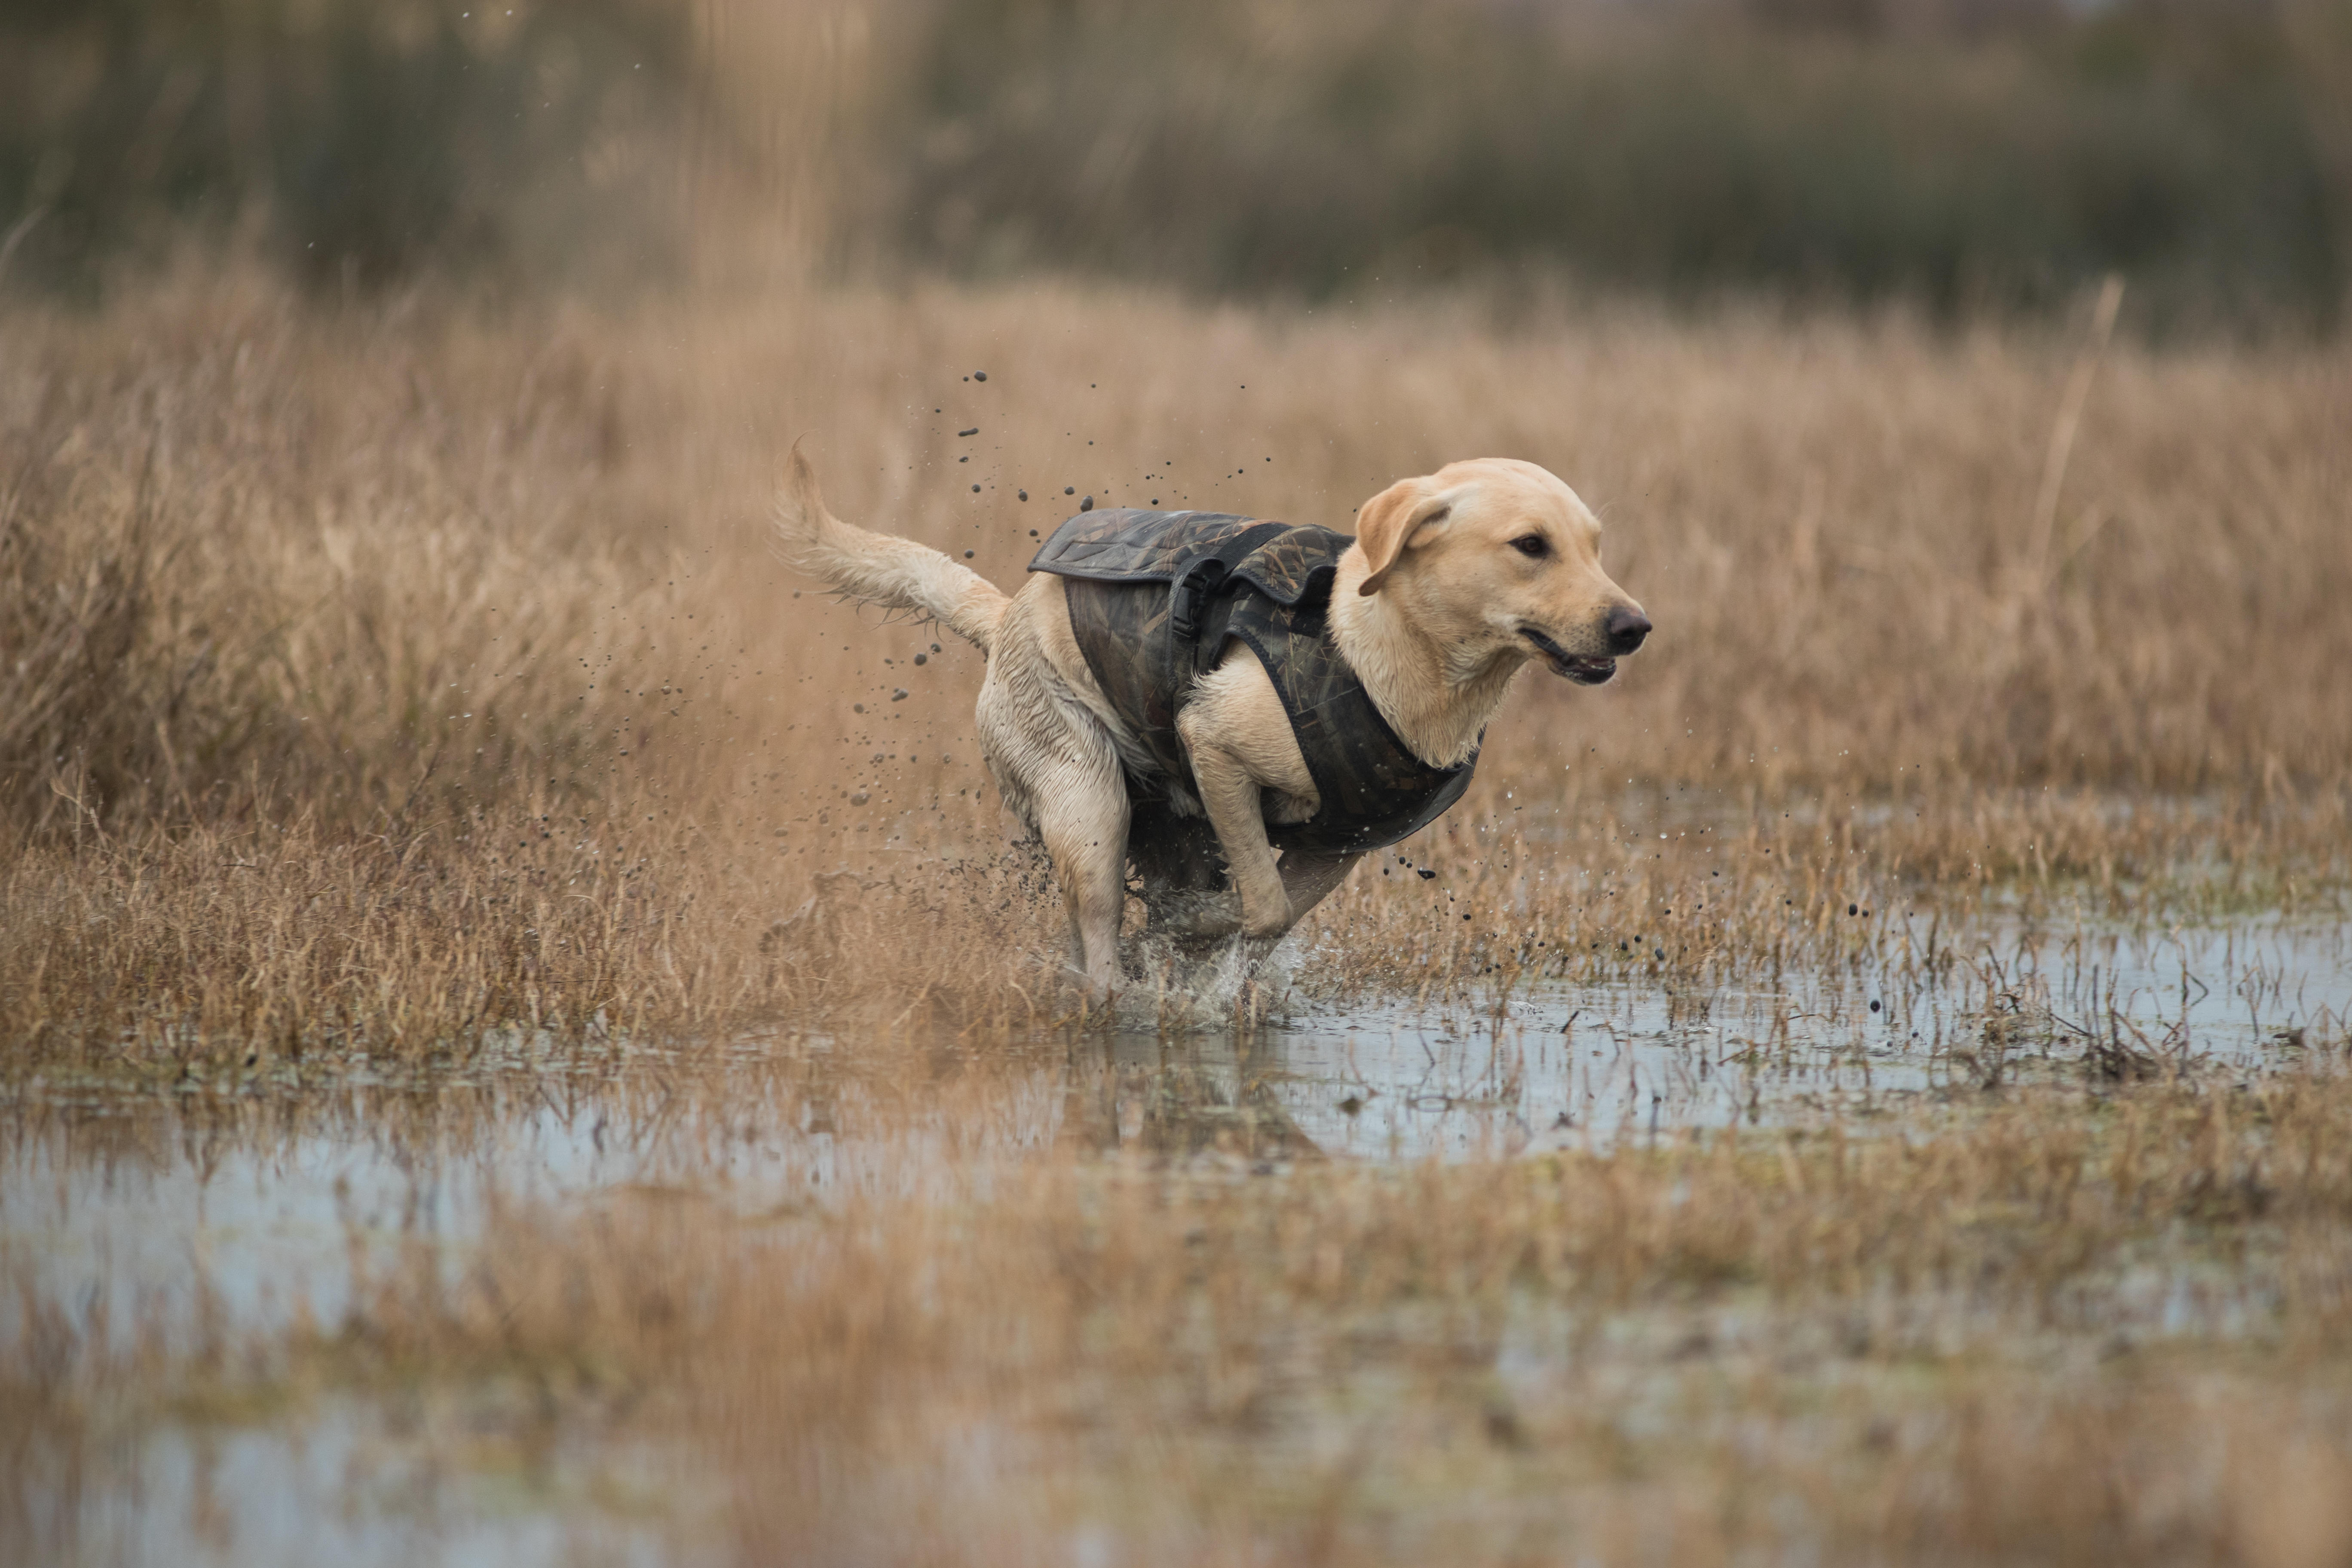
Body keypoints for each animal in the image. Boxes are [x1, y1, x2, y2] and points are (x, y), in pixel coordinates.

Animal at [776, 447, 1656, 992]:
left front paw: (1199, 943)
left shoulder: (1341, 844)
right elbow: (1258, 907)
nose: (1634, 627)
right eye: (1530, 545)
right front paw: (1188, 932)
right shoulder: (1216, 742)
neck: (1384, 660)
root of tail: (1004, 621)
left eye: (1594, 545)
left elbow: (1272, 913)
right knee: (1099, 941)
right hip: (1086, 800)